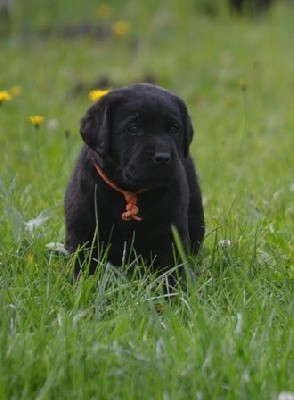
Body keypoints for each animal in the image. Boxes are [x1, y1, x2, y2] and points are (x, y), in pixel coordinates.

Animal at [64, 82, 203, 282]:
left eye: (174, 129)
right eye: (134, 128)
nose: (163, 157)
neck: (129, 193)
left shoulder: (170, 231)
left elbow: (169, 270)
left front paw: (172, 290)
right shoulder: (83, 231)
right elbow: (84, 268)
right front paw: (84, 287)